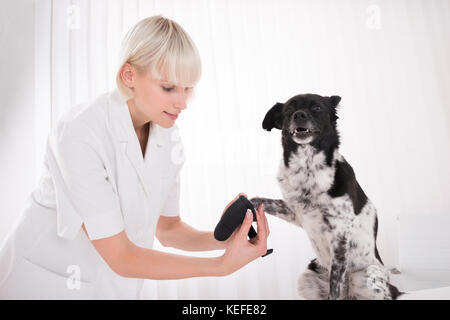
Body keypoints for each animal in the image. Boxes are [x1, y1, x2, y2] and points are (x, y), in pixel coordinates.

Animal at [250, 93, 400, 300]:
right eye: (289, 110)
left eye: (317, 108)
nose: (299, 115)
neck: (308, 167)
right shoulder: (296, 212)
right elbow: (262, 201)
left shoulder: (339, 235)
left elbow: (335, 286)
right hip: (307, 277)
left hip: (368, 277)